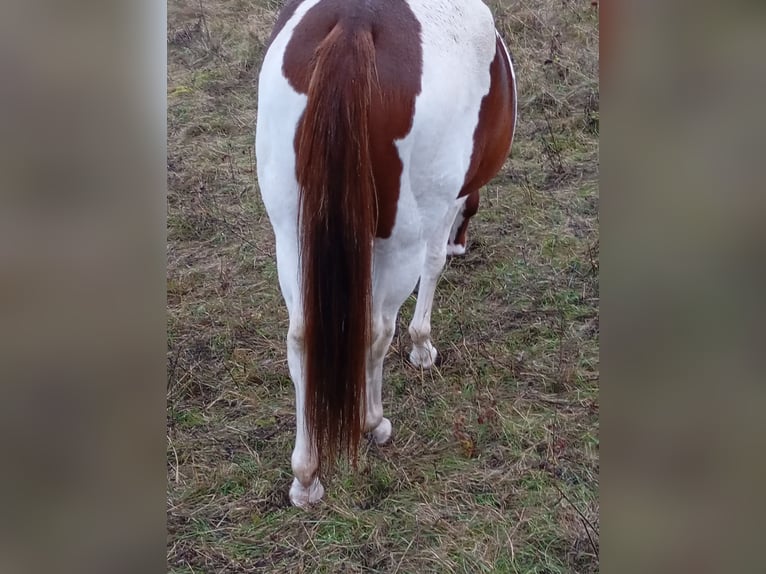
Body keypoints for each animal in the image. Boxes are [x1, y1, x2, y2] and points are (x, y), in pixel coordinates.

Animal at [256, 0, 516, 508]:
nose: (462, 242)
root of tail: (356, 25)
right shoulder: (442, 209)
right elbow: (431, 270)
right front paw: (422, 348)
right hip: (401, 240)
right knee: (376, 329)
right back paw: (371, 423)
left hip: (292, 235)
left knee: (301, 337)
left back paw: (306, 476)